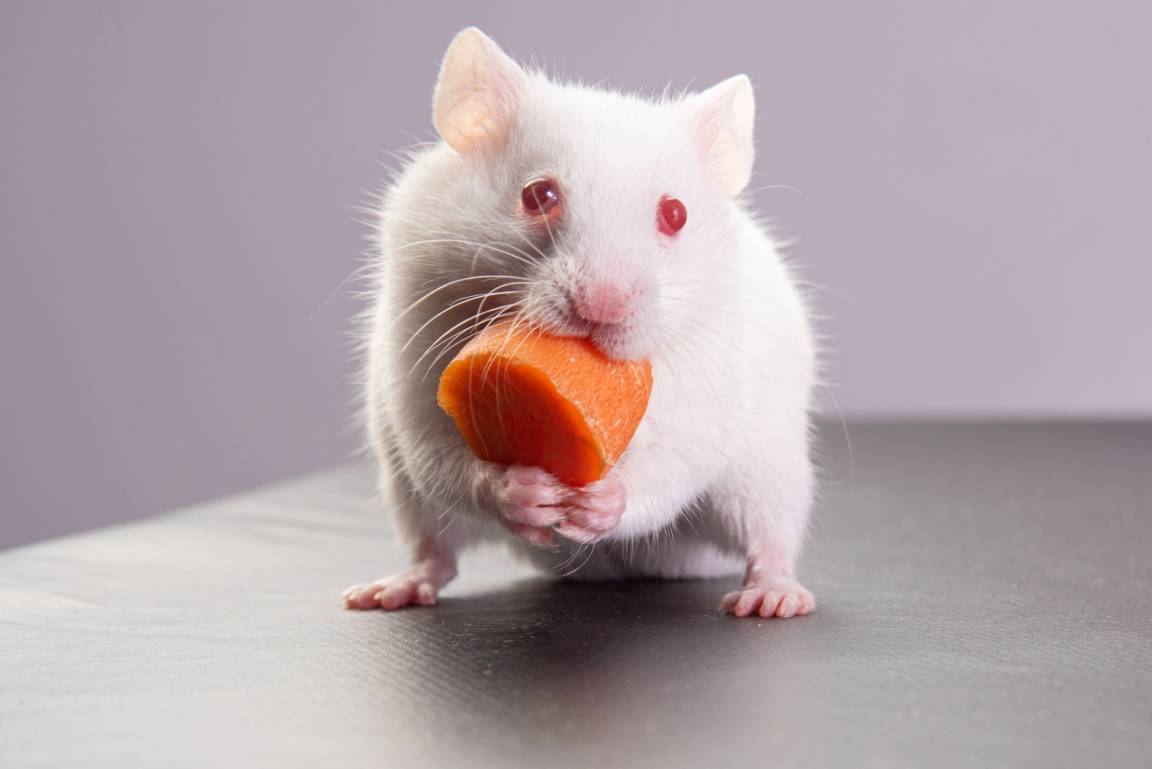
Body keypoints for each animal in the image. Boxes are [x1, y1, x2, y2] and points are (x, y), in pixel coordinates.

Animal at [340, 28, 820, 617]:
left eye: (676, 214)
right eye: (538, 195)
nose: (601, 309)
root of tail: (645, 568)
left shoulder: (707, 378)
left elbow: (672, 458)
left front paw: (599, 504)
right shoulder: (419, 340)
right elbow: (441, 449)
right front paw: (525, 493)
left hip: (769, 475)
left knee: (768, 538)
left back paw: (771, 598)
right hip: (403, 489)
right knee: (436, 549)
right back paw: (386, 591)